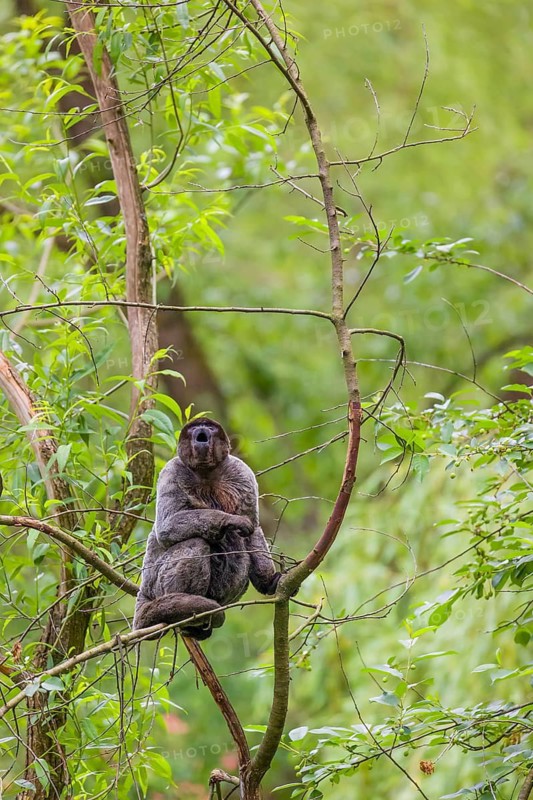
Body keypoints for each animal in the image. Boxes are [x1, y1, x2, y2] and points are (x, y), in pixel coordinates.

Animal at [133, 417, 280, 640]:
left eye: (209, 428)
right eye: (194, 428)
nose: (201, 431)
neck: (206, 473)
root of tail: (144, 592)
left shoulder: (241, 471)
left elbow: (254, 528)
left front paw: (268, 581)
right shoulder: (172, 470)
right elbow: (166, 528)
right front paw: (229, 520)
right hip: (155, 583)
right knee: (196, 542)